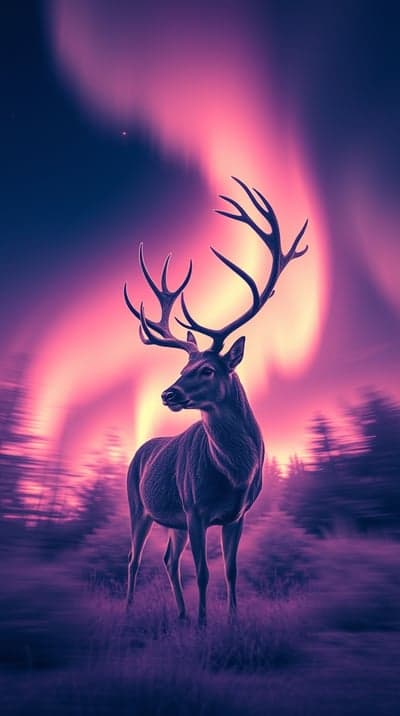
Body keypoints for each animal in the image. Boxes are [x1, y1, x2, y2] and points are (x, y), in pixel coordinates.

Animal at [124, 177, 308, 625]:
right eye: (182, 367)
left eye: (207, 369)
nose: (168, 393)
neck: (234, 473)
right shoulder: (194, 509)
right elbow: (205, 571)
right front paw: (205, 625)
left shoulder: (237, 515)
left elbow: (231, 569)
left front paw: (231, 621)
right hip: (138, 504)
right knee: (134, 559)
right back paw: (130, 612)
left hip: (170, 519)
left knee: (168, 559)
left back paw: (180, 614)